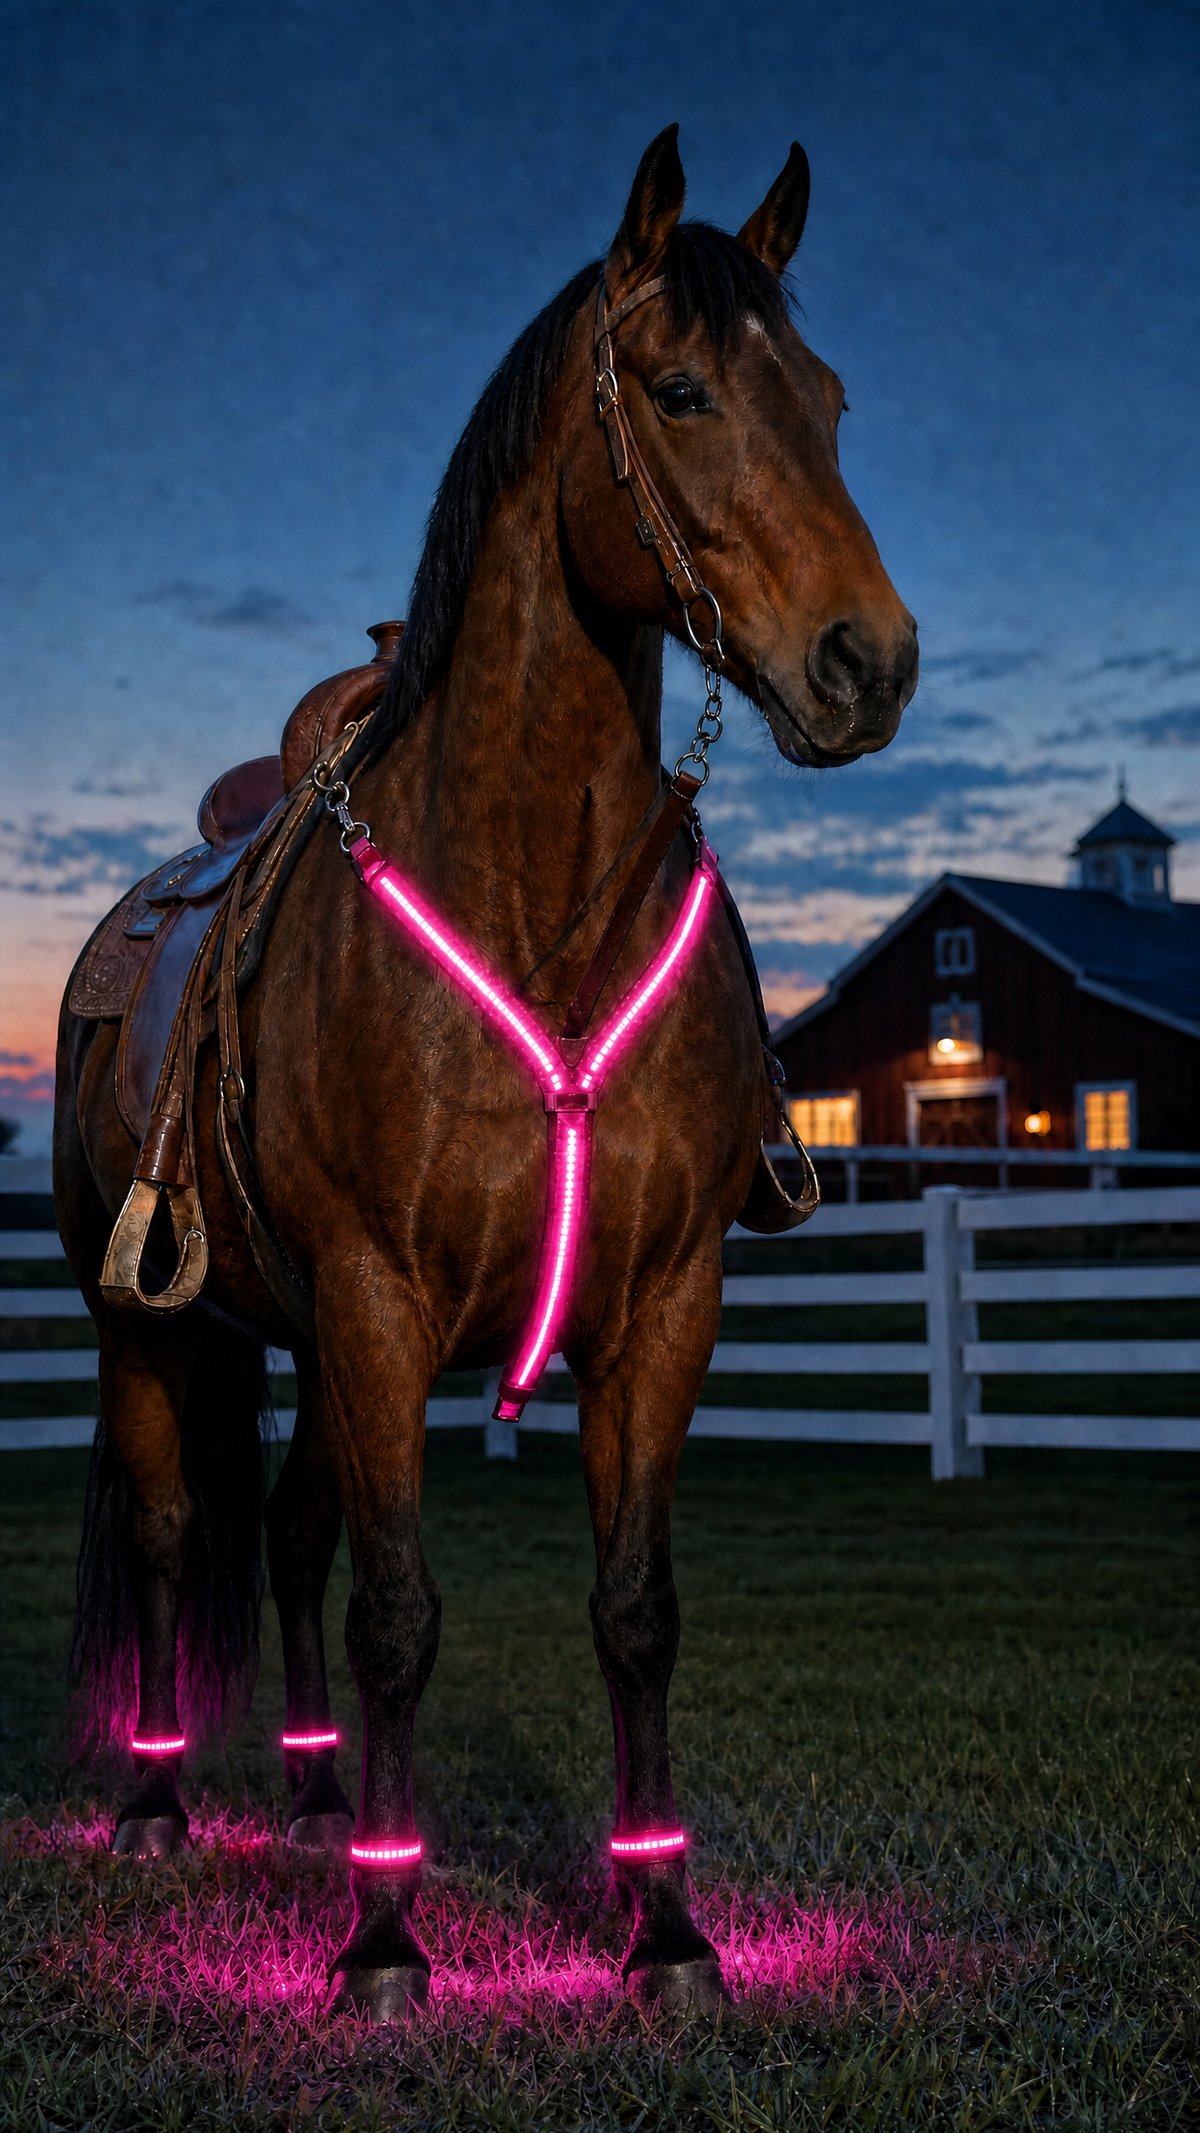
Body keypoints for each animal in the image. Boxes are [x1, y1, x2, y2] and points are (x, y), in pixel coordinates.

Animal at [55, 125, 917, 2023]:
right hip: (153, 1328)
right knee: (170, 1532)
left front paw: (663, 1930)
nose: (868, 662)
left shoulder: (659, 1307)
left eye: (832, 398)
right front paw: (386, 1946)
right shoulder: (380, 1302)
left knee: (288, 1534)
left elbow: (633, 1608)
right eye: (681, 389)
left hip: (306, 1343)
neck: (539, 904)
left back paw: (313, 1801)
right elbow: (403, 1614)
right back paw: (158, 1808)